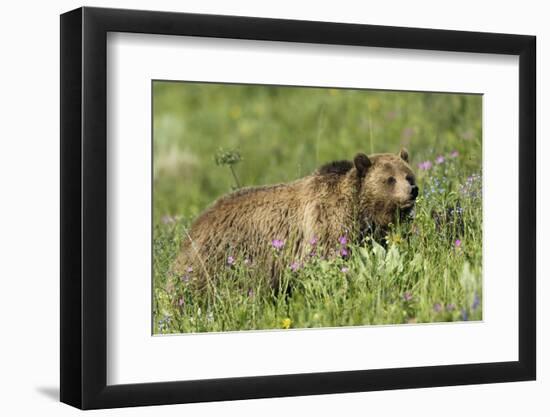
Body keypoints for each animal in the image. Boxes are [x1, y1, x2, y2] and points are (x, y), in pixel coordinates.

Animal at [175, 150, 420, 290]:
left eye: (408, 175)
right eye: (390, 179)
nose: (413, 190)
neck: (360, 210)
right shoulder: (326, 225)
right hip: (224, 257)